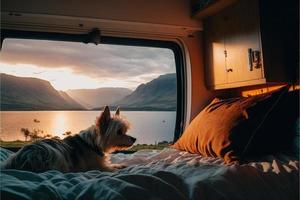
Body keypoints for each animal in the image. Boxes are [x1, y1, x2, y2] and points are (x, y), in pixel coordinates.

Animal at [2, 105, 136, 173]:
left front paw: (121, 165)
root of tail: (16, 160)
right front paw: (120, 167)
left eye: (125, 131)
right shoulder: (99, 167)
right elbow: (111, 168)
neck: (93, 143)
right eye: (119, 132)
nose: (134, 139)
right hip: (54, 153)